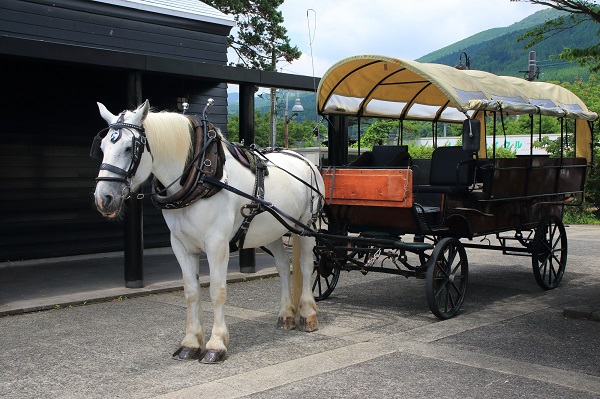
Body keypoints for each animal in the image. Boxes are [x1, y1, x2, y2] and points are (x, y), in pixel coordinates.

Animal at [94, 99, 326, 362]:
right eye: (102, 146)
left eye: (128, 148)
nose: (103, 198)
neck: (200, 176)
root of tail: (304, 159)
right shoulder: (181, 246)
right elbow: (191, 291)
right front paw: (191, 342)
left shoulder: (217, 244)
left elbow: (217, 291)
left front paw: (216, 344)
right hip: (272, 228)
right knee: (283, 266)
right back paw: (286, 313)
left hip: (307, 225)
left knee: (306, 266)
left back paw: (307, 314)